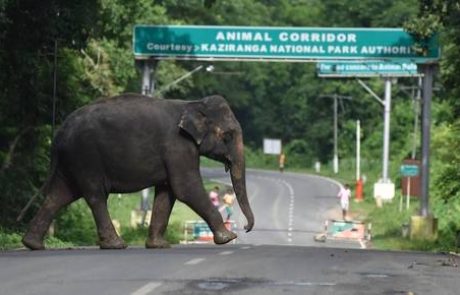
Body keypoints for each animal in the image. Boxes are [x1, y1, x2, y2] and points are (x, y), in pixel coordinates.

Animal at [22, 93, 255, 251]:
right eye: (228, 135)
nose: (245, 228)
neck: (192, 103)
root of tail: (59, 132)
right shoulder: (177, 146)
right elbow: (185, 188)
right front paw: (228, 237)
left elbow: (167, 192)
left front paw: (158, 245)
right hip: (85, 157)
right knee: (95, 196)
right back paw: (116, 244)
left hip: (72, 160)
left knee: (59, 195)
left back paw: (33, 244)